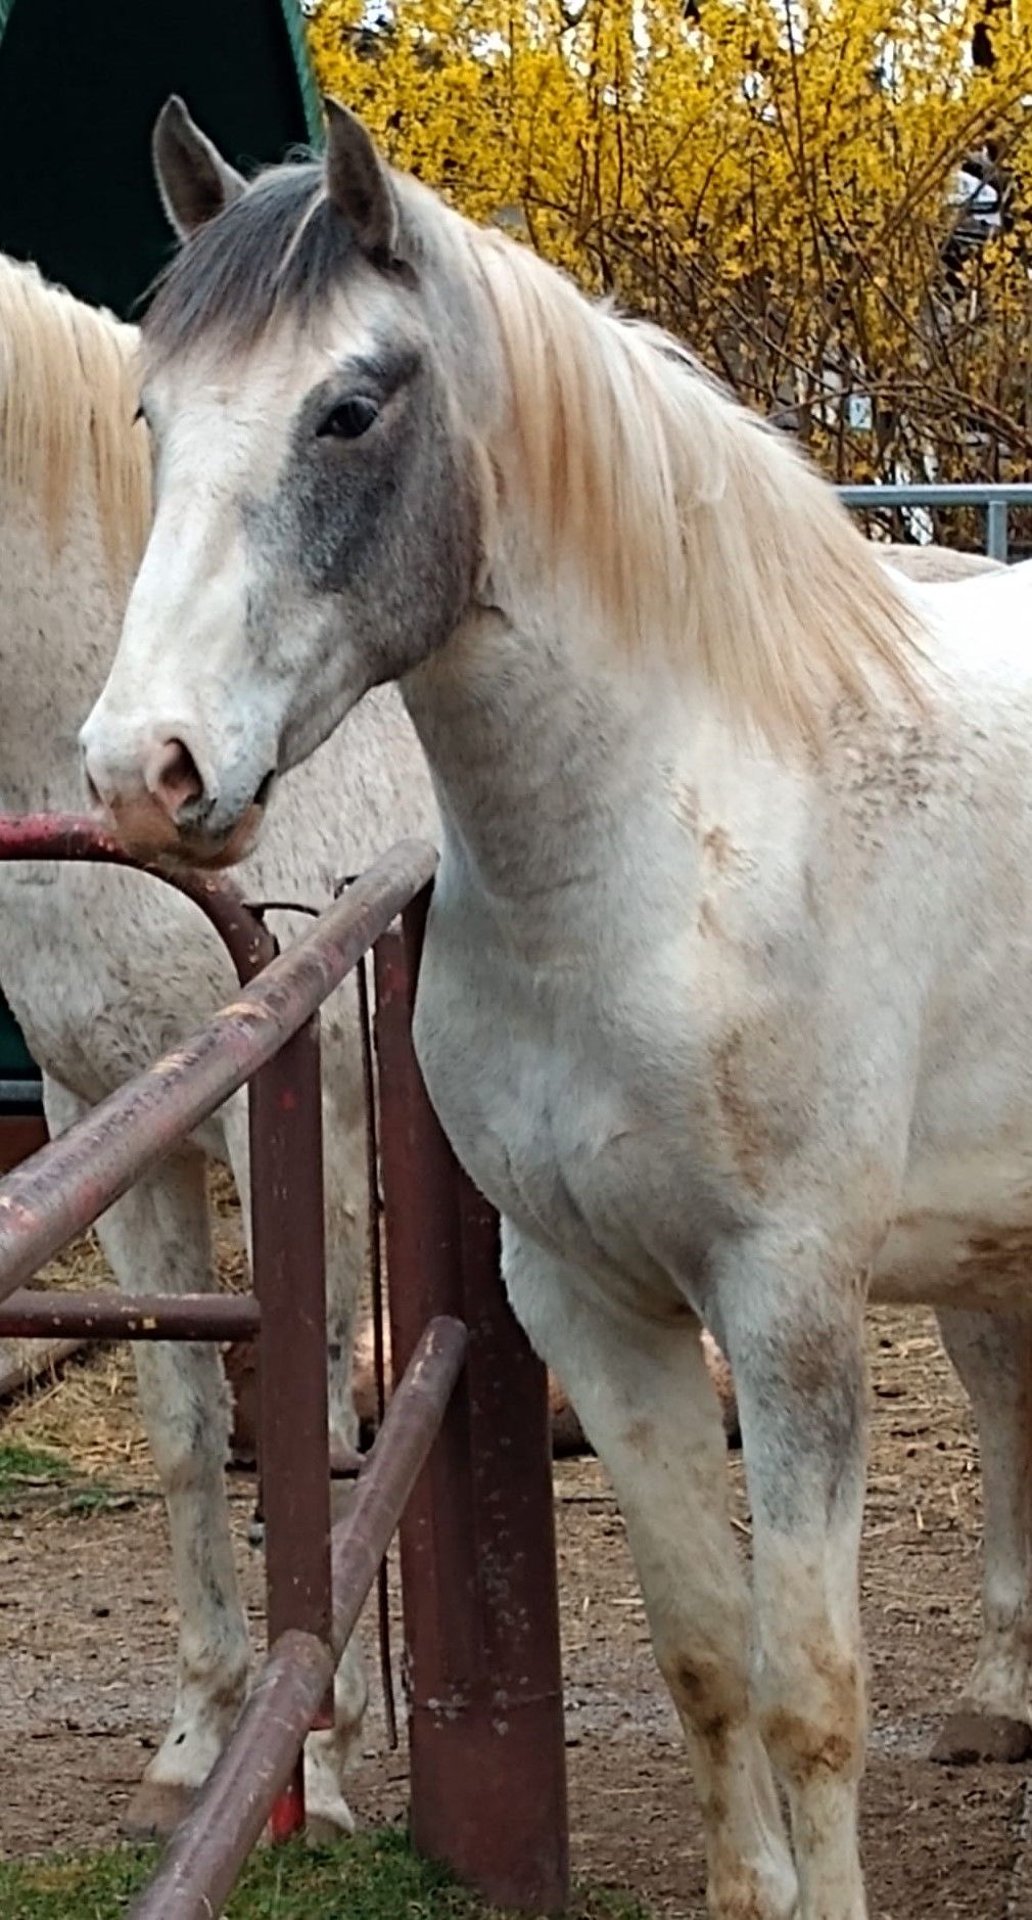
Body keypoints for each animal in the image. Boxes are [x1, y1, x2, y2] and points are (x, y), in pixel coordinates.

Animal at [0, 247, 437, 1835]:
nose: (155, 774)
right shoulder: (108, 1118)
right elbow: (185, 1422)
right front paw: (197, 1740)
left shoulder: (294, 1107)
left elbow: (316, 1412)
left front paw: (316, 1756)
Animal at [82, 101, 1032, 1920]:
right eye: (152, 414)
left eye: (349, 408)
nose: (138, 771)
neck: (674, 857)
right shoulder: (586, 1301)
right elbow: (706, 1661)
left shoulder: (789, 1310)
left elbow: (812, 1695)